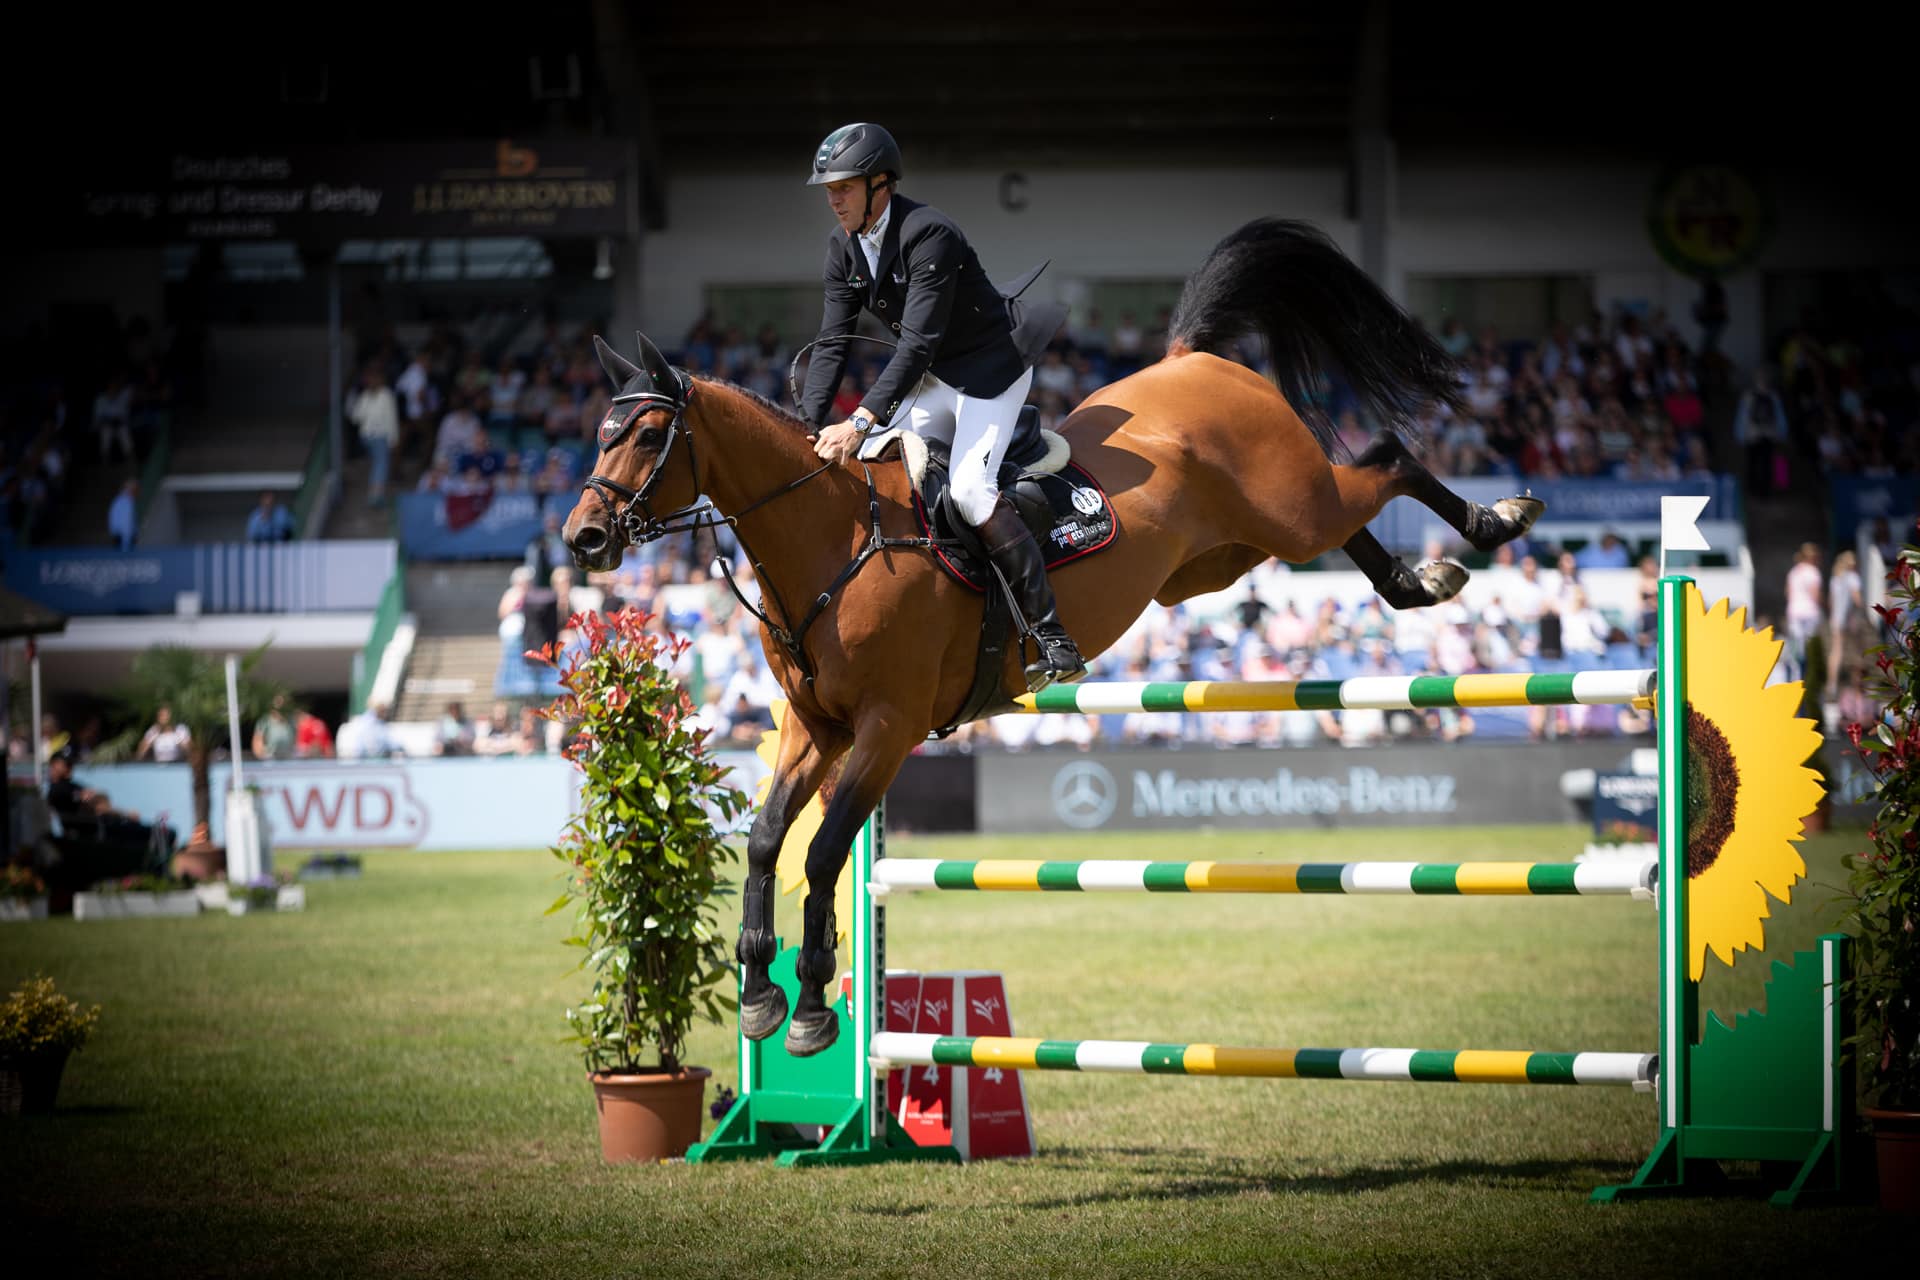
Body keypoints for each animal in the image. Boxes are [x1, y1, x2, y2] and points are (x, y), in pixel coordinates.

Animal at [560, 220, 1536, 1059]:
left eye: (647, 434)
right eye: (597, 432)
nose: (583, 540)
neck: (834, 538)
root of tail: (1191, 361)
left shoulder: (888, 726)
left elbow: (829, 849)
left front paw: (808, 1012)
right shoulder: (816, 725)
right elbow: (768, 841)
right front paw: (762, 995)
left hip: (1290, 508)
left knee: (1384, 460)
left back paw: (1491, 523)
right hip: (1223, 559)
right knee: (1352, 517)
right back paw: (1416, 581)